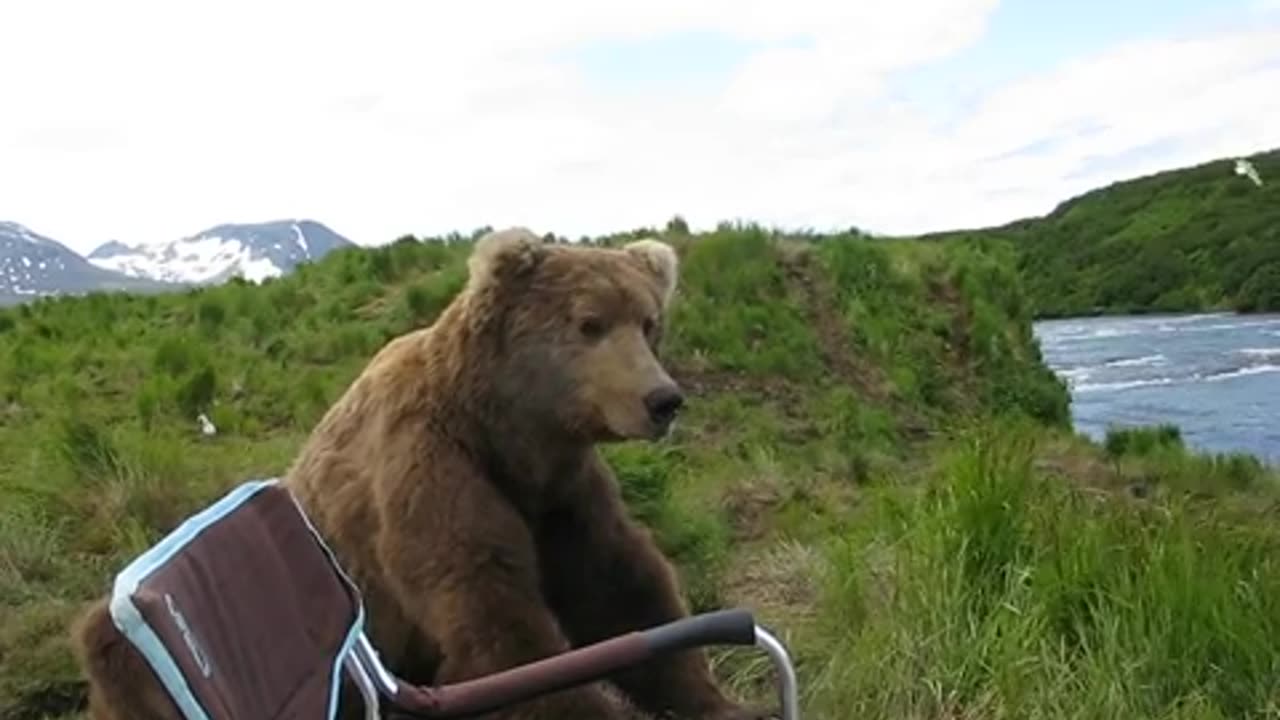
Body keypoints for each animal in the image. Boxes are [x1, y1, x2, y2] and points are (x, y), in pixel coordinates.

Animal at [72, 228, 768, 717]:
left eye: (649, 322)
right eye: (589, 323)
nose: (663, 400)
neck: (508, 432)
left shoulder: (561, 494)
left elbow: (621, 592)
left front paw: (718, 701)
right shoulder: (430, 472)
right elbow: (497, 627)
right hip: (134, 655)